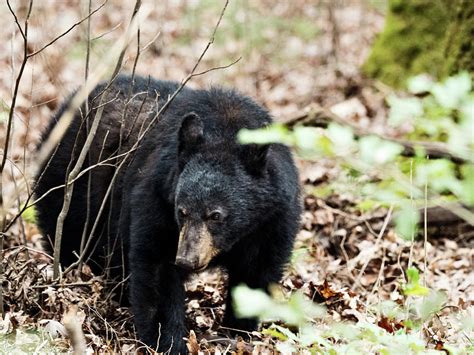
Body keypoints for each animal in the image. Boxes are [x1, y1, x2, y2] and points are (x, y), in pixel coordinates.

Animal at [36, 75, 304, 354]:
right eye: (181, 211)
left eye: (216, 215)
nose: (186, 259)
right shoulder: (157, 196)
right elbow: (158, 266)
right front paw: (168, 342)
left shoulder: (272, 219)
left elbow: (256, 271)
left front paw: (238, 331)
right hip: (70, 179)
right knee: (69, 234)